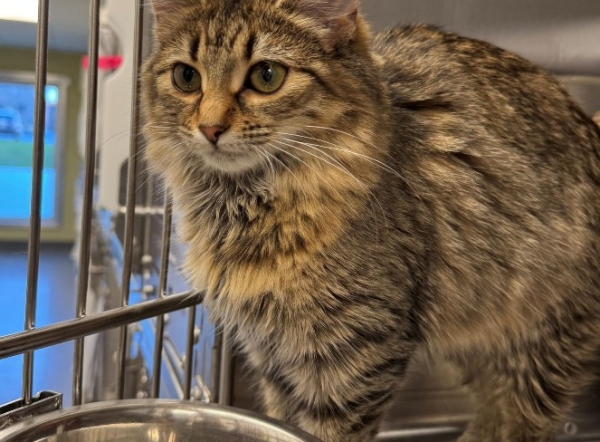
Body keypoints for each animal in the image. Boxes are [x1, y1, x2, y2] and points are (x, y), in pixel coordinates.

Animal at [141, 0, 600, 441]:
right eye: (186, 77)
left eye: (266, 76)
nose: (210, 128)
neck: (240, 207)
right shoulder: (272, 355)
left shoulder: (355, 351)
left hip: (542, 342)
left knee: (521, 420)